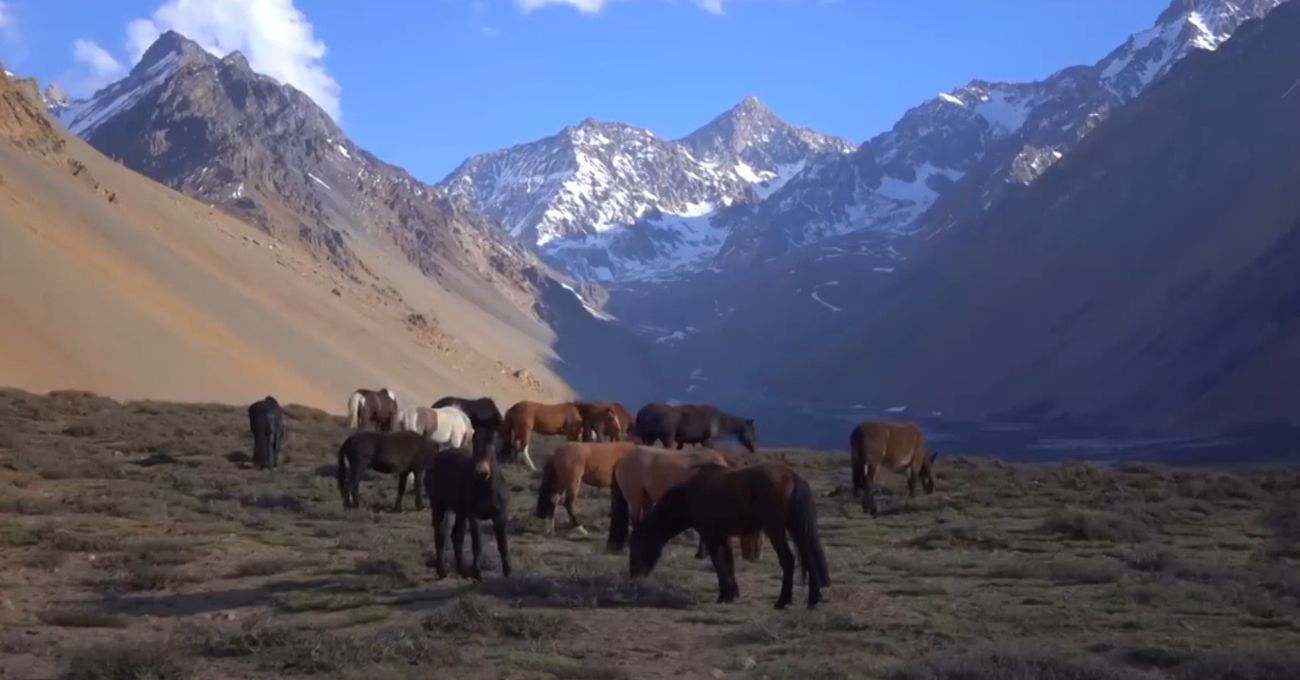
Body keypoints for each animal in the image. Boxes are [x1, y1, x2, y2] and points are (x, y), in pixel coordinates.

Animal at [423, 444, 509, 582]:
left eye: (492, 443)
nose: (481, 472)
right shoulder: (474, 517)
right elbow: (477, 545)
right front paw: (478, 574)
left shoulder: (500, 515)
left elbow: (503, 544)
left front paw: (508, 572)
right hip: (439, 506)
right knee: (440, 536)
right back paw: (442, 572)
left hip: (460, 513)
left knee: (456, 536)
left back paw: (462, 571)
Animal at [605, 444, 759, 561]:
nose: (753, 557)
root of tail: (621, 460)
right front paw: (701, 554)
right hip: (634, 499)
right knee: (635, 521)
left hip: (646, 498)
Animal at [629, 462, 832, 611]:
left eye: (636, 543)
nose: (633, 575)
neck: (690, 495)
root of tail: (793, 477)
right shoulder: (724, 536)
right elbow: (729, 563)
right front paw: (732, 594)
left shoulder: (711, 536)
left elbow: (718, 563)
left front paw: (723, 596)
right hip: (795, 528)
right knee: (808, 557)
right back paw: (813, 599)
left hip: (775, 529)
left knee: (788, 560)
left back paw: (783, 601)